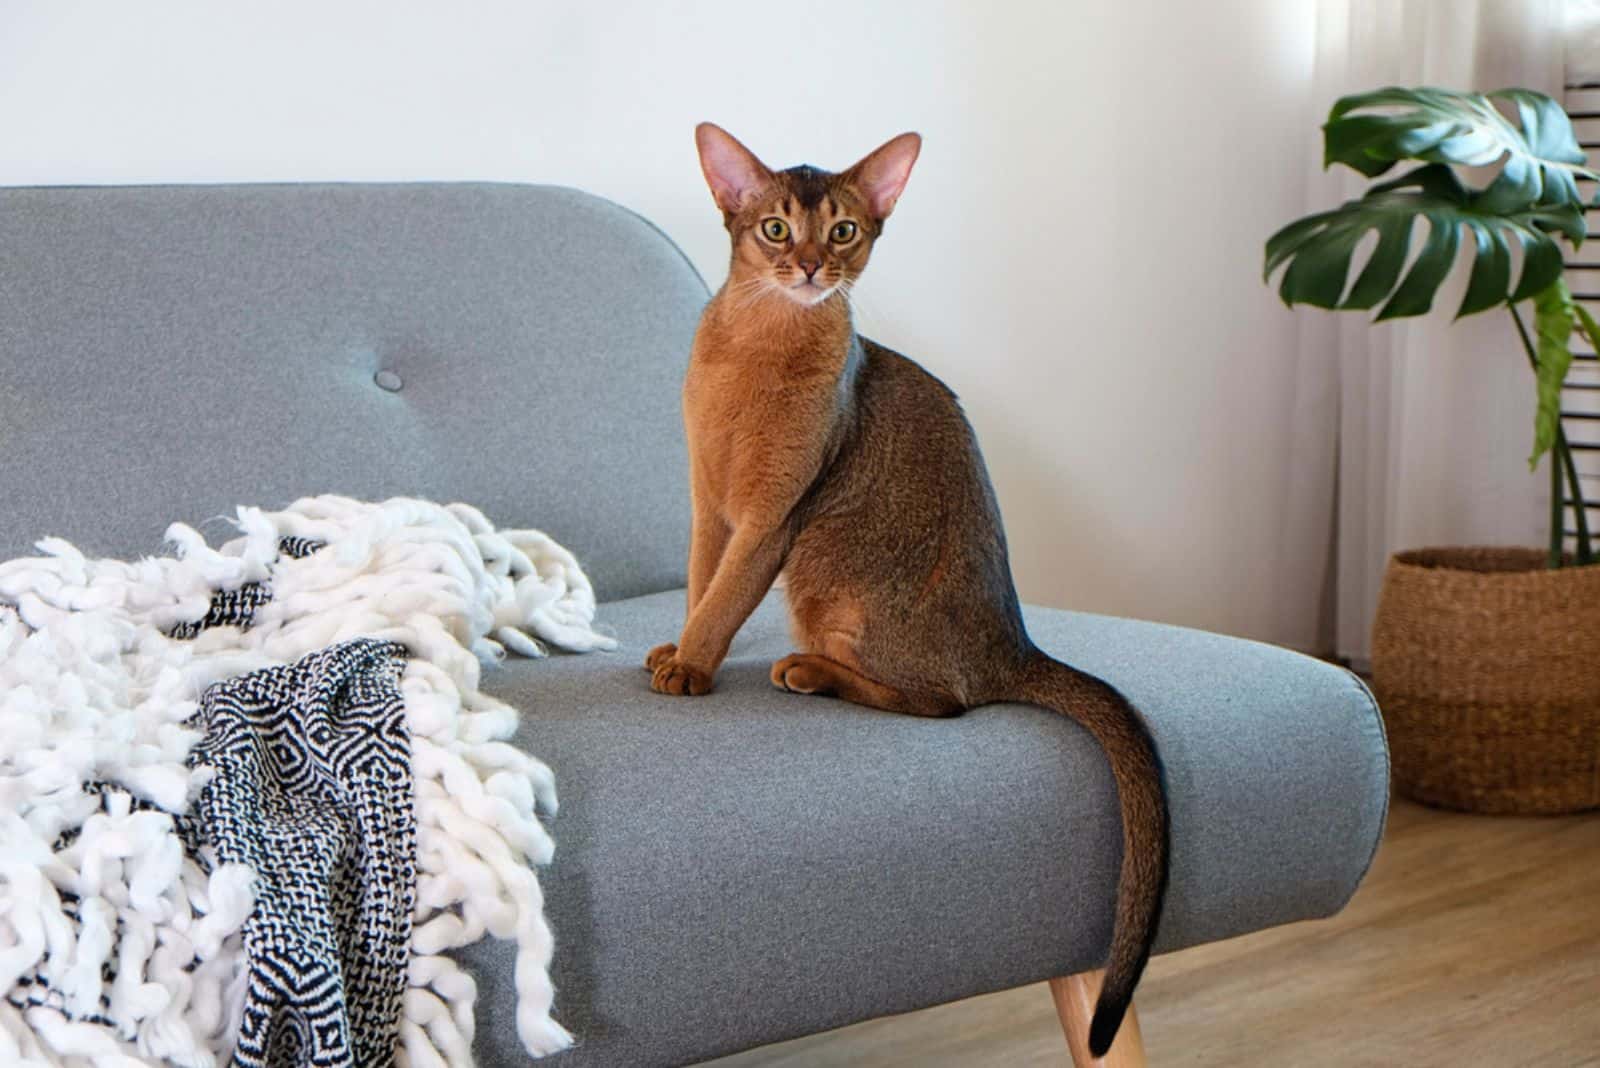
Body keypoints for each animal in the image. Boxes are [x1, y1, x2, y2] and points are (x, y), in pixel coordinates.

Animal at [643, 123, 1171, 1048]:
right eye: (775, 229)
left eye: (843, 231)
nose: (811, 268)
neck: (757, 344)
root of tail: (1015, 645)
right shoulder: (709, 505)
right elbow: (702, 585)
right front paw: (679, 647)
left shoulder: (774, 518)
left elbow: (726, 599)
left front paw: (693, 666)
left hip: (826, 574)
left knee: (944, 704)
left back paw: (812, 673)